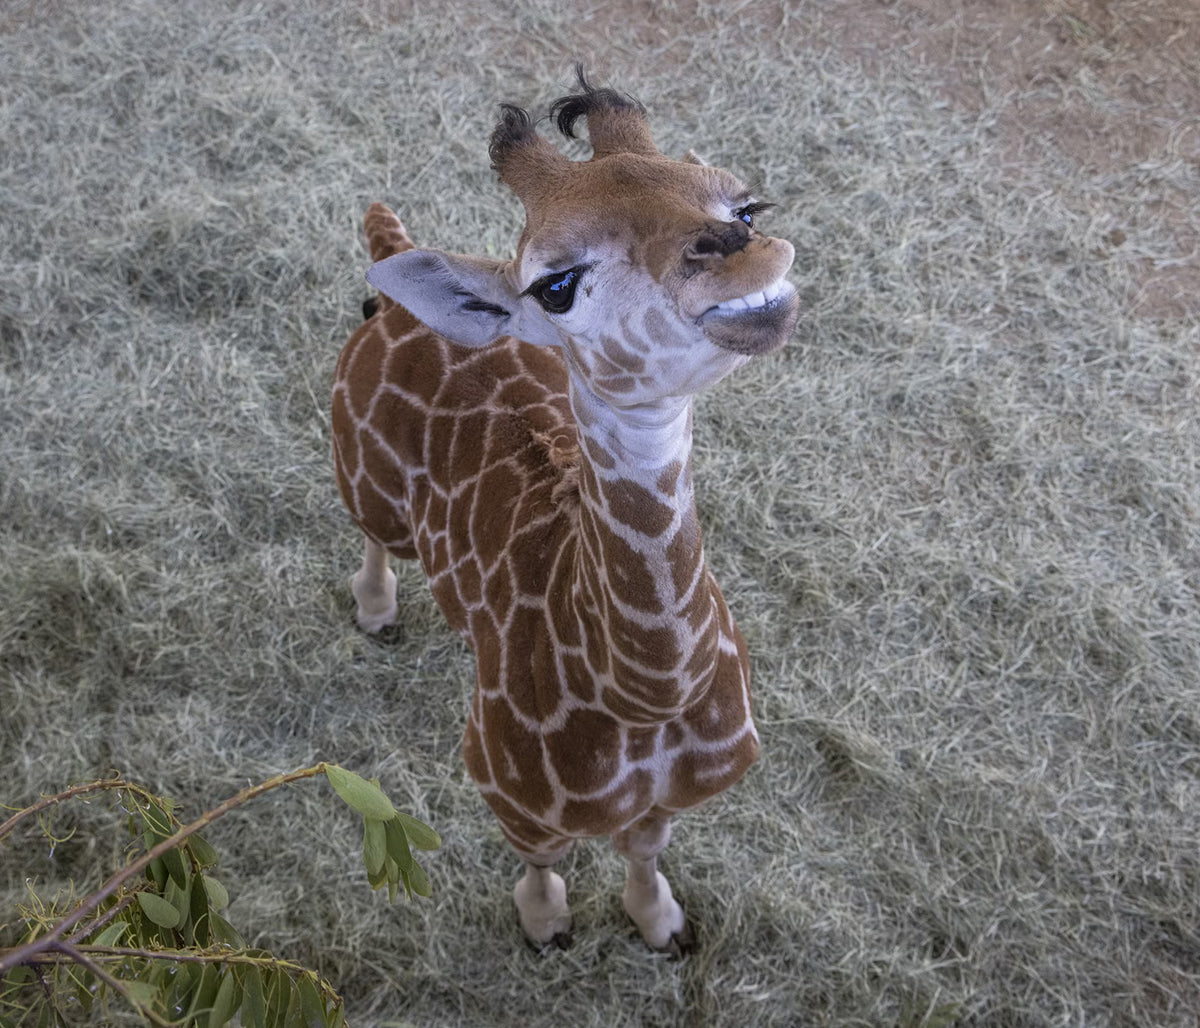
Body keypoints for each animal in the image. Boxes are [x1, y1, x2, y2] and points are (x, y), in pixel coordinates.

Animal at [331, 71, 800, 953]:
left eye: (747, 207)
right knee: (374, 539)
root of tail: (388, 271)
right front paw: (547, 926)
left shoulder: (675, 798)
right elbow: (542, 861)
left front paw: (661, 924)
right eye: (556, 285)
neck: (646, 699)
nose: (743, 256)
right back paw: (377, 614)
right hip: (360, 478)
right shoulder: (509, 790)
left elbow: (646, 849)